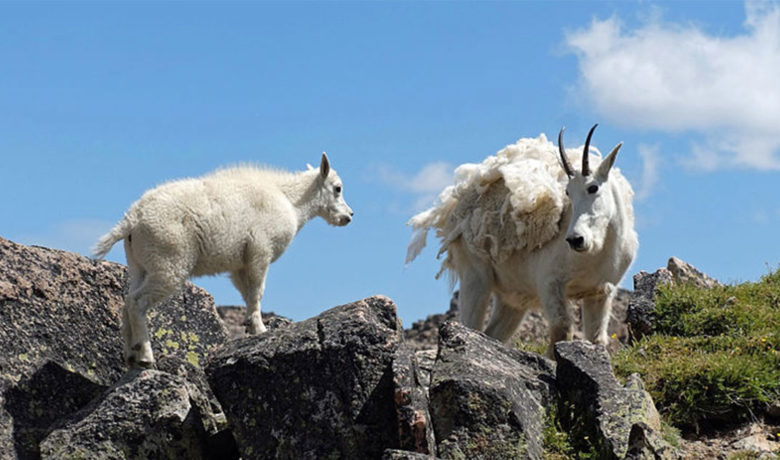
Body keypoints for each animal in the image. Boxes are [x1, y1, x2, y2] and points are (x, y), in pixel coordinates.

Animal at [93, 154, 353, 367]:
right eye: (338, 188)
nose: (349, 216)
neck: (291, 200)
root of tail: (132, 219)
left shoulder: (240, 262)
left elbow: (247, 293)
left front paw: (250, 326)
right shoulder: (260, 251)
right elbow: (256, 292)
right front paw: (260, 329)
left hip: (140, 264)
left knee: (127, 300)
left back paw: (131, 354)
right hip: (168, 263)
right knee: (138, 302)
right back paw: (146, 355)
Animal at [406, 125, 638, 355]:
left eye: (593, 187)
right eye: (567, 192)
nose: (575, 239)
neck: (595, 254)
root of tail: (452, 213)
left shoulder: (600, 292)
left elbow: (597, 339)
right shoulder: (550, 283)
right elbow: (562, 329)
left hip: (513, 299)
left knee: (492, 333)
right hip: (475, 276)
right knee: (470, 326)